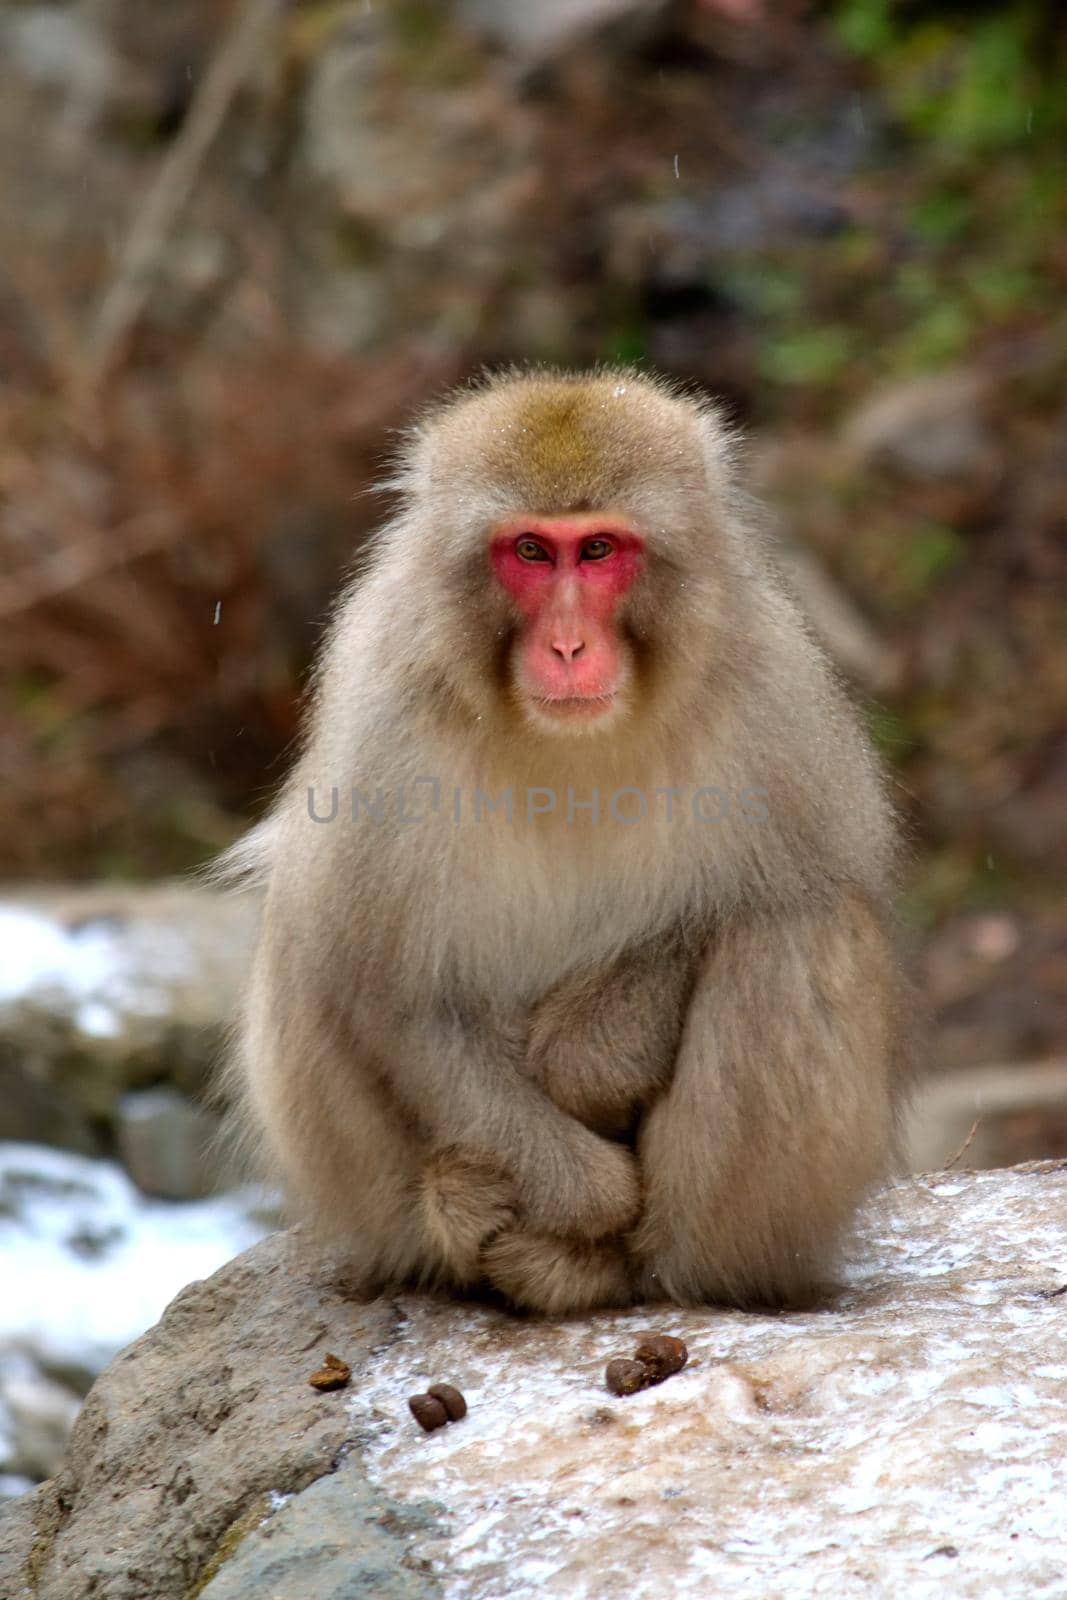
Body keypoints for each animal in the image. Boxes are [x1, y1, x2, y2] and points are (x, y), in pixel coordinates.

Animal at [227, 366, 908, 1312]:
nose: (567, 646)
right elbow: (383, 990)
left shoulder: (774, 695)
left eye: (596, 551)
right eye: (528, 551)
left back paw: (652, 1270)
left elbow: (776, 893)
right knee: (303, 946)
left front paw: (587, 1060)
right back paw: (466, 1218)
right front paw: (588, 1191)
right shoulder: (383, 725)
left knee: (802, 937)